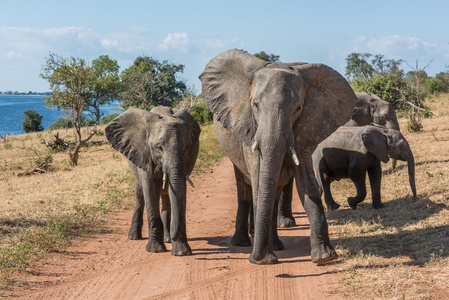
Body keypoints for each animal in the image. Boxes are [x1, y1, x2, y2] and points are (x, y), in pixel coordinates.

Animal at [105, 105, 200, 255]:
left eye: (186, 147)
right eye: (158, 147)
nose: (174, 236)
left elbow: (179, 191)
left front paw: (181, 253)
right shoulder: (143, 154)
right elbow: (149, 189)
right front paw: (155, 250)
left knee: (166, 198)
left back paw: (167, 239)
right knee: (140, 195)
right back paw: (134, 237)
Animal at [200, 49, 356, 264]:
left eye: (298, 108)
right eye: (255, 105)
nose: (253, 259)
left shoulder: (304, 129)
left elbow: (307, 185)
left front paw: (325, 257)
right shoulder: (249, 129)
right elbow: (260, 185)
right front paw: (265, 260)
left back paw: (275, 246)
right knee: (246, 190)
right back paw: (244, 244)